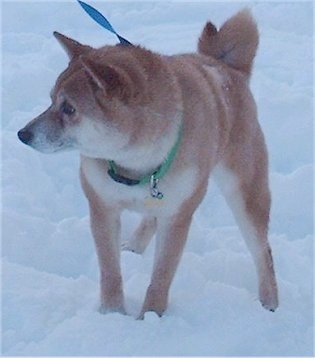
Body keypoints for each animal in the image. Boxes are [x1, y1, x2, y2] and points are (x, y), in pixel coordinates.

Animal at [17, 8, 278, 318]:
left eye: (69, 109)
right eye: (50, 100)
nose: (23, 134)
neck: (136, 161)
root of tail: (224, 66)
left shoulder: (178, 216)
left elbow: (161, 277)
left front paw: (150, 317)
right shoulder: (102, 206)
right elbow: (110, 272)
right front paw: (112, 314)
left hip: (245, 192)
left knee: (262, 250)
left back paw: (270, 303)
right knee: (150, 217)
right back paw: (134, 246)